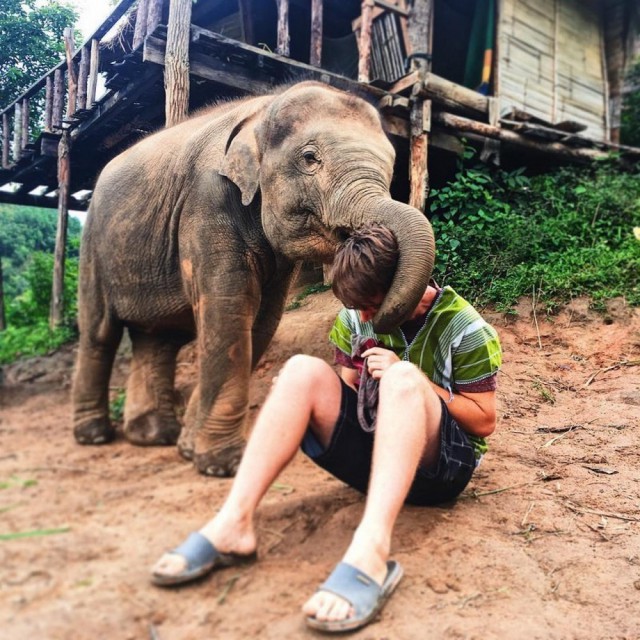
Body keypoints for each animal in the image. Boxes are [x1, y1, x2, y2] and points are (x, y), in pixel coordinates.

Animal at [74, 80, 436, 476]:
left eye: (391, 166)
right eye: (310, 158)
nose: (378, 322)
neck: (261, 109)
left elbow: (263, 320)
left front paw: (189, 449)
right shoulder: (207, 201)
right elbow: (229, 313)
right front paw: (222, 466)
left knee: (158, 339)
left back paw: (154, 436)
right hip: (93, 245)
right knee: (100, 333)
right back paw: (94, 436)